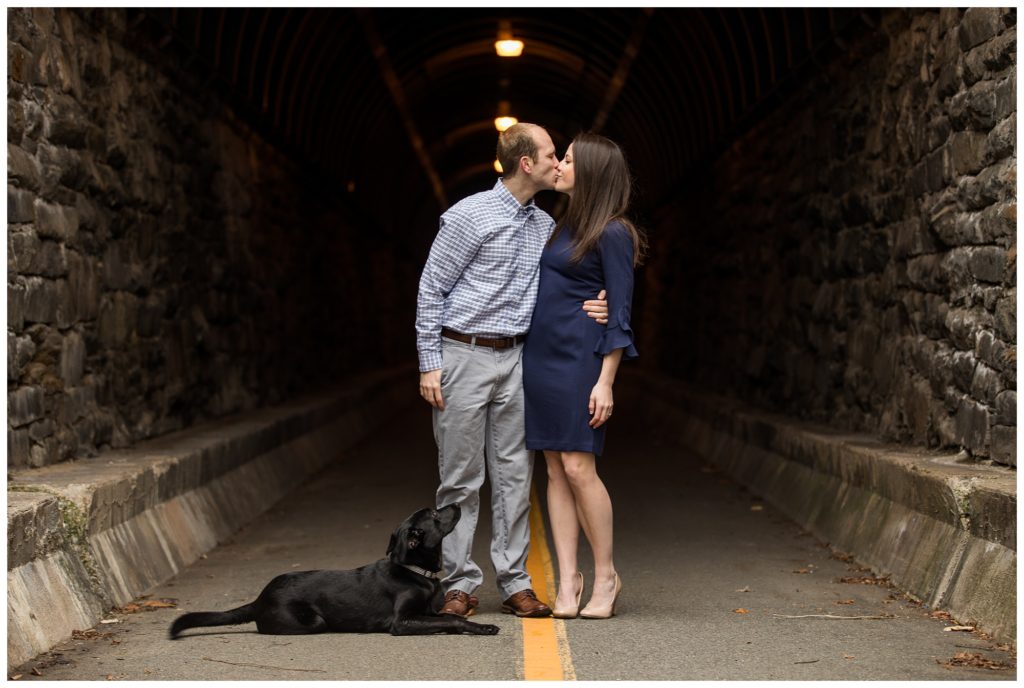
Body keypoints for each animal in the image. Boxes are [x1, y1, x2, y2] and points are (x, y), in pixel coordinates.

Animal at [169, 501, 497, 638]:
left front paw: (481, 626)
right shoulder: (402, 622)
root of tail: (260, 597)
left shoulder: (427, 613)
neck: (415, 571)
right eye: (434, 514)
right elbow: (451, 620)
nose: (457, 504)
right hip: (313, 621)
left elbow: (450, 617)